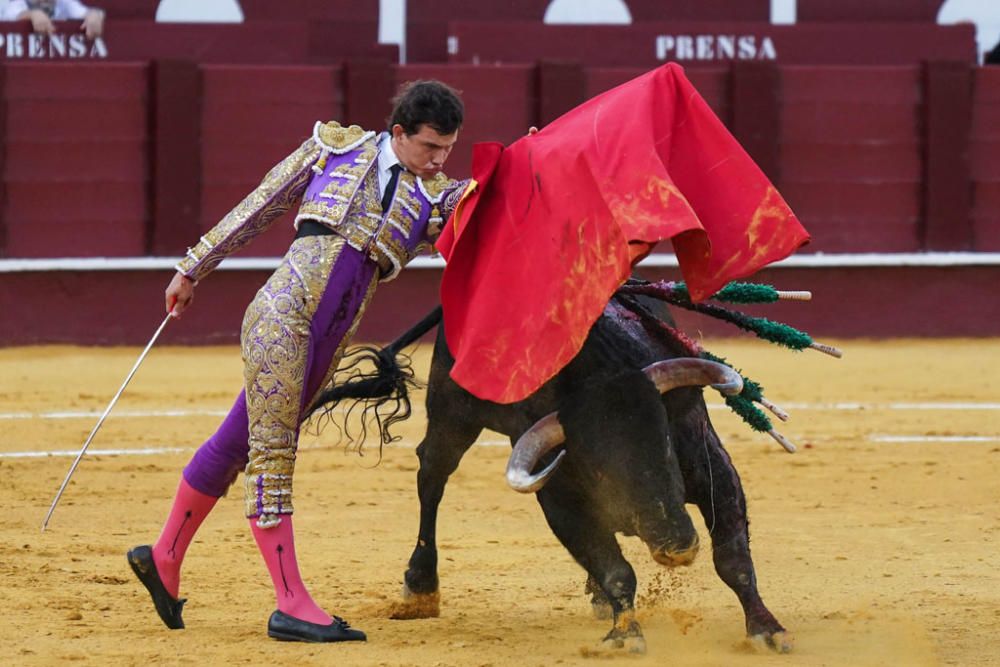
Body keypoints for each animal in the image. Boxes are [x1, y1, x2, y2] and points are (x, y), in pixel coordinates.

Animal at [312, 294, 788, 656]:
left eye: (665, 440)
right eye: (597, 469)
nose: (676, 546)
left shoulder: (711, 467)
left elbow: (733, 559)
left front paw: (767, 630)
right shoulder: (560, 498)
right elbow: (616, 568)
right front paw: (625, 635)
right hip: (451, 414)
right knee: (432, 477)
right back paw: (420, 585)